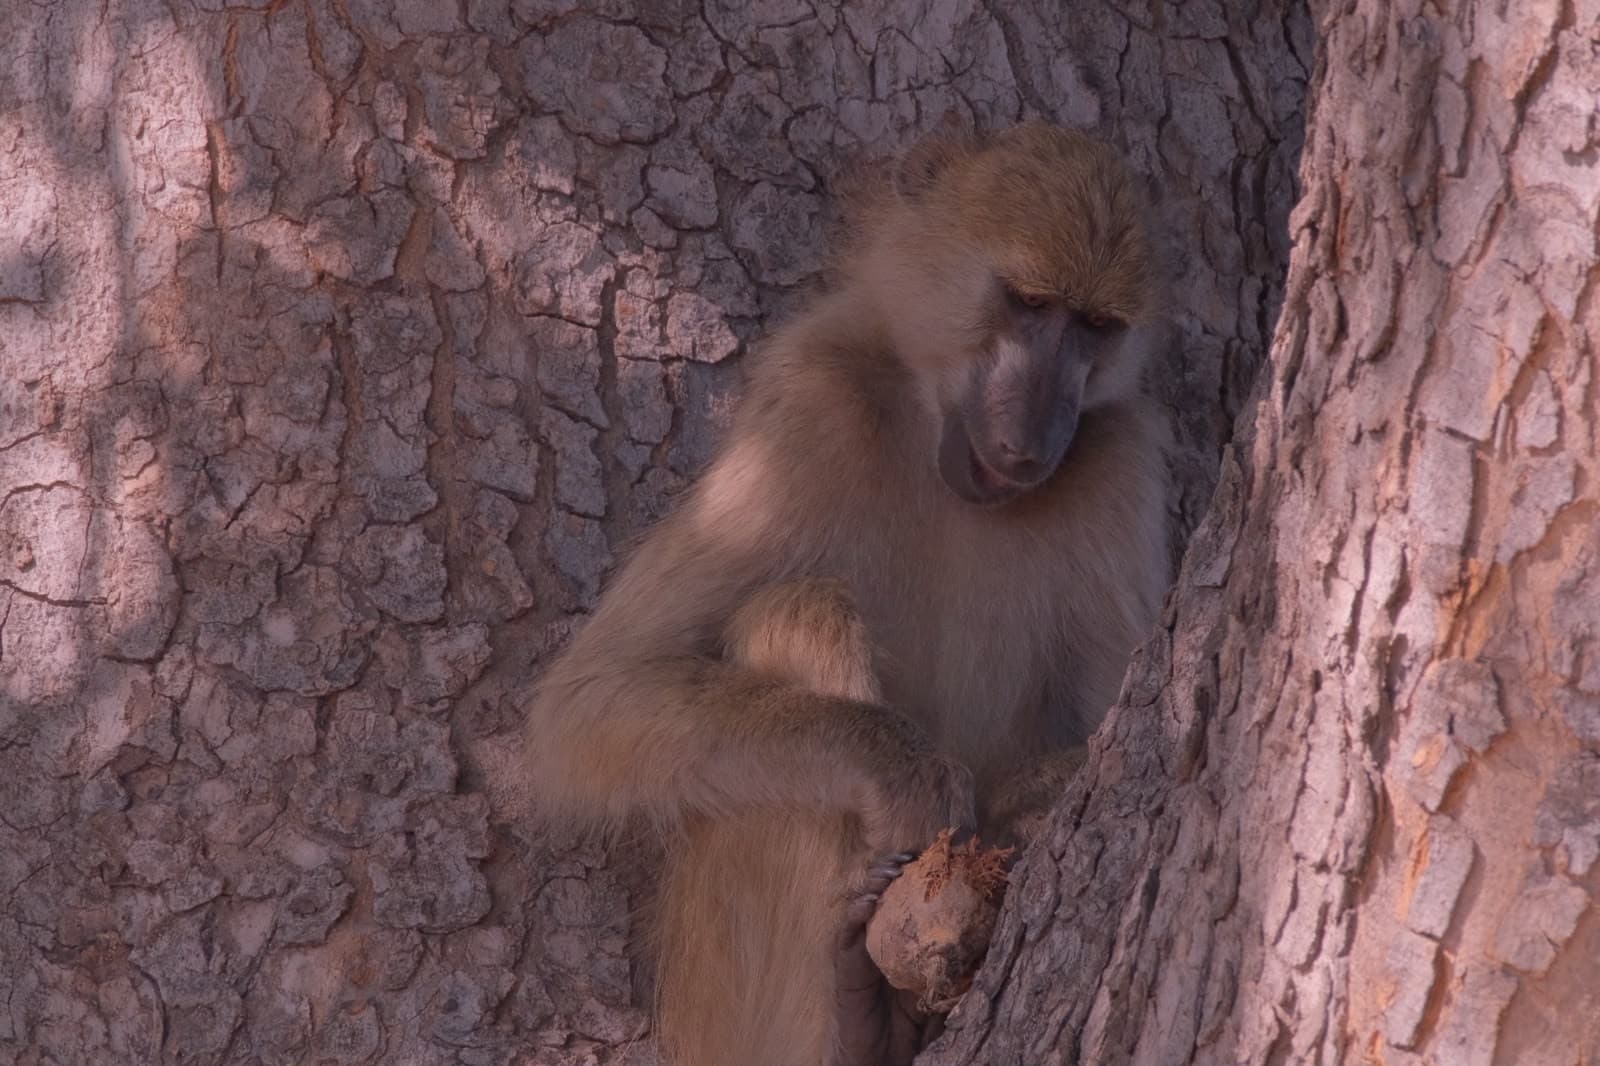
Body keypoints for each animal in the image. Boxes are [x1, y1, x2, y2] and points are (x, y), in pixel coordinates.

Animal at [498, 122, 1172, 1066]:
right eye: (1027, 303)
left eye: (1096, 328)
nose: (1035, 437)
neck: (929, 420)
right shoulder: (810, 400)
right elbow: (596, 698)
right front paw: (910, 775)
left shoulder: (1120, 454)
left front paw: (1029, 800)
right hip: (718, 1010)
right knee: (798, 610)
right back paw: (858, 1010)